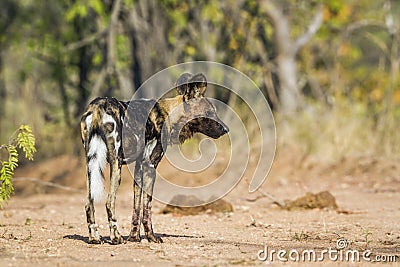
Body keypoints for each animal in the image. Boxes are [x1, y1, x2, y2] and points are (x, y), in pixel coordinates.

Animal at [80, 73, 228, 245]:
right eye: (210, 113)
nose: (226, 129)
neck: (170, 114)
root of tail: (97, 106)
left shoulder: (139, 168)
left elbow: (136, 208)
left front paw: (134, 237)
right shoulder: (150, 166)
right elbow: (147, 208)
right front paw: (151, 237)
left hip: (91, 167)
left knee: (88, 204)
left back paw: (95, 238)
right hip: (116, 166)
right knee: (109, 202)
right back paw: (116, 237)